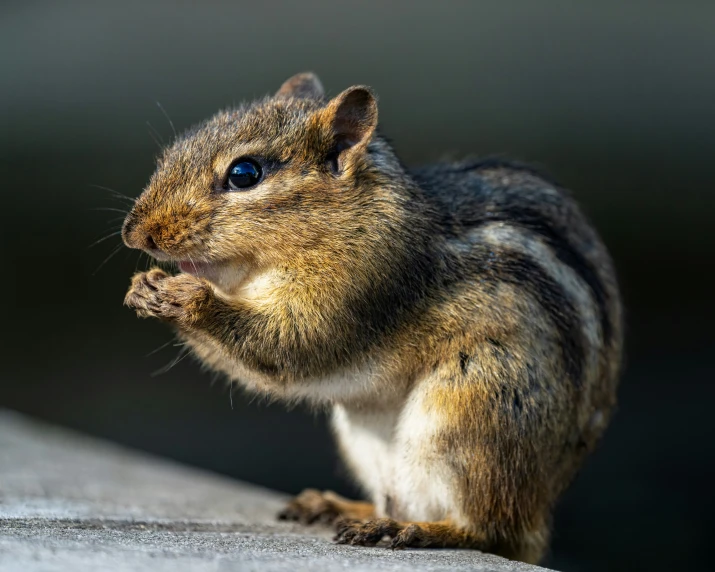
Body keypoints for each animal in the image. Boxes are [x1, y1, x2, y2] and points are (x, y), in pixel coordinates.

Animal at [121, 70, 620, 564]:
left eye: (245, 174)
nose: (134, 233)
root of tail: (537, 516)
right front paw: (143, 288)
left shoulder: (361, 284)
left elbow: (289, 347)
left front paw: (188, 297)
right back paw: (341, 507)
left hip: (473, 410)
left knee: (487, 529)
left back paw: (413, 530)